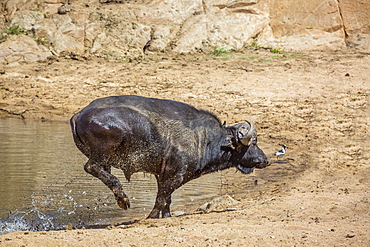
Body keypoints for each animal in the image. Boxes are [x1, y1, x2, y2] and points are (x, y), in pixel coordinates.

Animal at [70, 95, 268, 218]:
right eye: (253, 143)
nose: (265, 160)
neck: (203, 138)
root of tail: (80, 114)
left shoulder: (163, 175)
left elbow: (166, 199)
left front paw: (166, 216)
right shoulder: (174, 175)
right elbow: (161, 198)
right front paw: (151, 217)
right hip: (102, 154)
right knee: (92, 167)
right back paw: (122, 198)